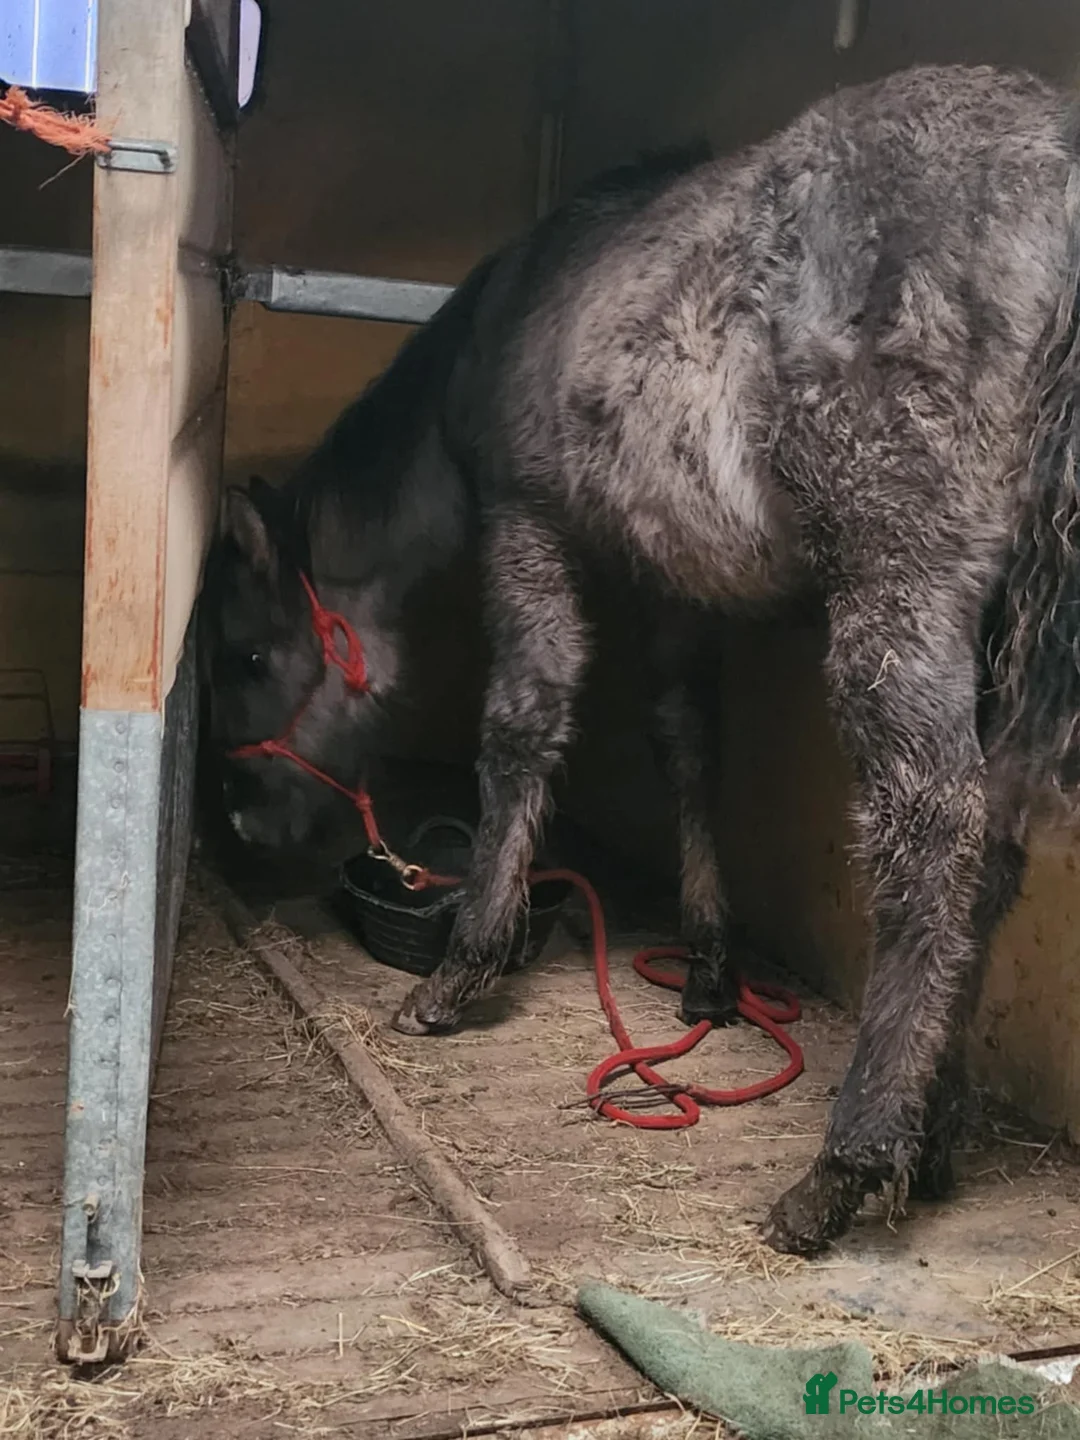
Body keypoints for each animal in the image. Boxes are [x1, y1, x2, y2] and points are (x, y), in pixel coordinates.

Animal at [201, 64, 1080, 1256]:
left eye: (249, 653)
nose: (243, 818)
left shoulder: (525, 524)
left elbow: (522, 723)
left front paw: (464, 966)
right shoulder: (677, 576)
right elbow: (686, 743)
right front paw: (707, 967)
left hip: (902, 582)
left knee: (933, 831)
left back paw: (846, 1165)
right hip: (990, 627)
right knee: (991, 843)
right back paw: (932, 1131)